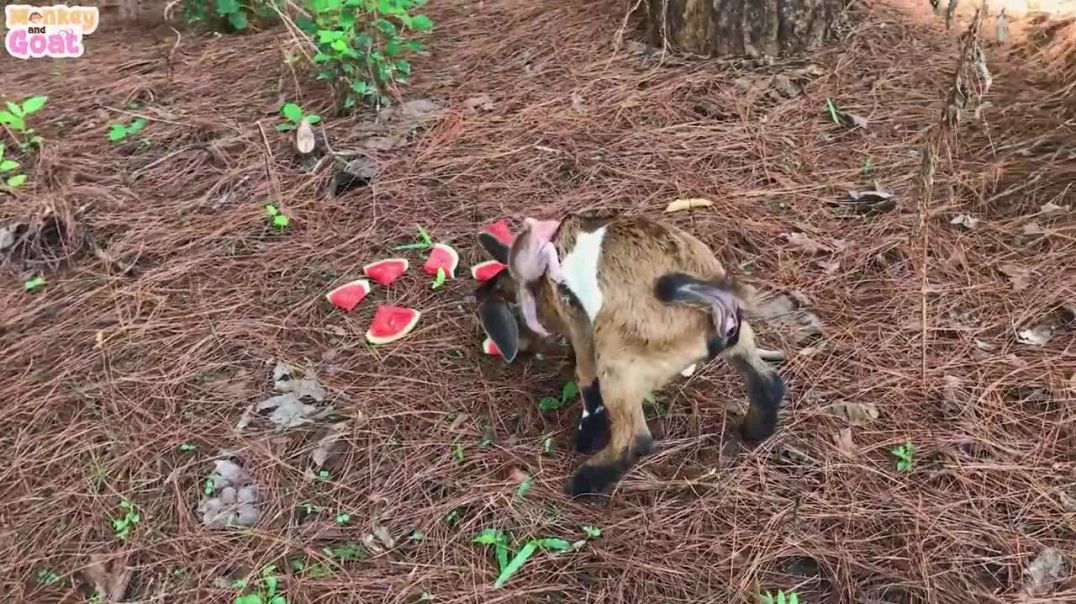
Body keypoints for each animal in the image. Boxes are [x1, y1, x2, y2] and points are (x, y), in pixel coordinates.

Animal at [475, 211, 786, 498]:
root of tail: (707, 308)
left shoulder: (579, 325)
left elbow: (585, 379)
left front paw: (589, 434)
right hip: (741, 338)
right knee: (767, 382)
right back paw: (754, 430)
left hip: (617, 364)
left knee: (636, 439)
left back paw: (584, 482)